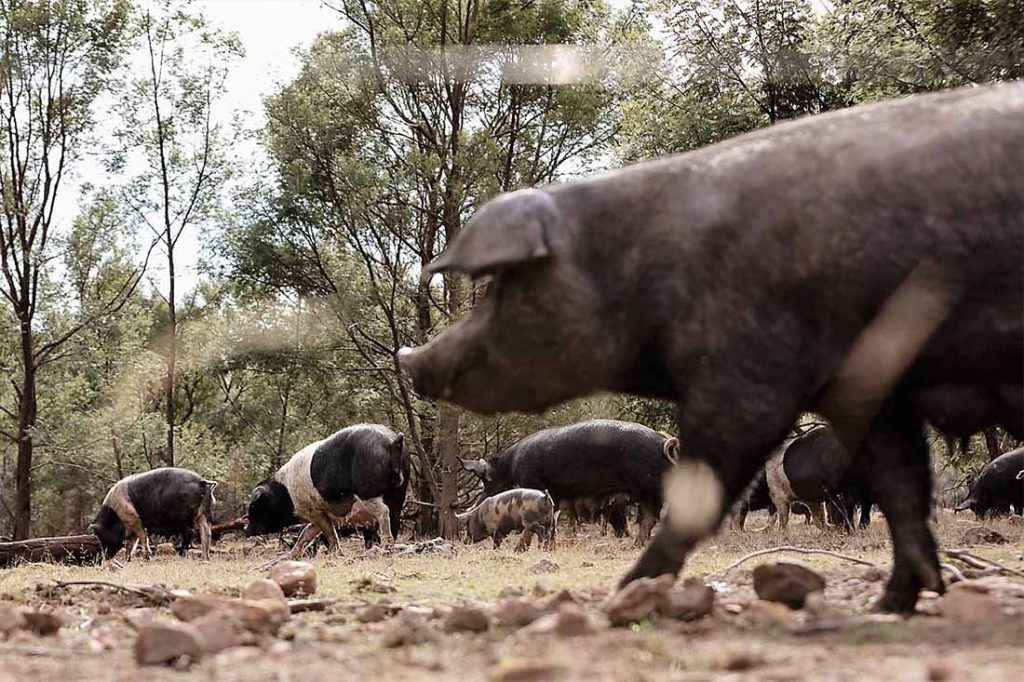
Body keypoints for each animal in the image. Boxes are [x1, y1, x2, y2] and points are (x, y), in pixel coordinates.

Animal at [88, 466, 216, 557]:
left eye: (101, 536)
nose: (104, 557)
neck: (115, 515)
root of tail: (201, 481)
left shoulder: (134, 519)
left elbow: (142, 537)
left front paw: (146, 557)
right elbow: (132, 542)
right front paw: (128, 558)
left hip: (183, 517)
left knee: (190, 532)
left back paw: (181, 554)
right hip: (204, 513)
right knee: (206, 532)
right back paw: (205, 557)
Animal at [460, 417, 675, 544]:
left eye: (485, 480)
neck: (510, 469)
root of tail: (663, 441)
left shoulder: (532, 483)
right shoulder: (553, 496)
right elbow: (553, 521)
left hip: (652, 488)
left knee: (654, 518)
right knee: (648, 520)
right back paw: (637, 545)